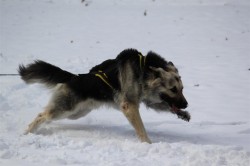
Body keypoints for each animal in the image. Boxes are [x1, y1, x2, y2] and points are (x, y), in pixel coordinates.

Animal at [18, 48, 189, 143]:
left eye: (182, 89)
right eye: (173, 89)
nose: (186, 104)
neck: (143, 71)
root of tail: (72, 77)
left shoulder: (148, 100)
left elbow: (165, 106)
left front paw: (183, 114)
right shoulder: (129, 106)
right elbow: (141, 129)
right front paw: (147, 144)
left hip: (76, 113)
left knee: (48, 116)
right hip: (66, 108)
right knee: (42, 115)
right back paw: (26, 132)